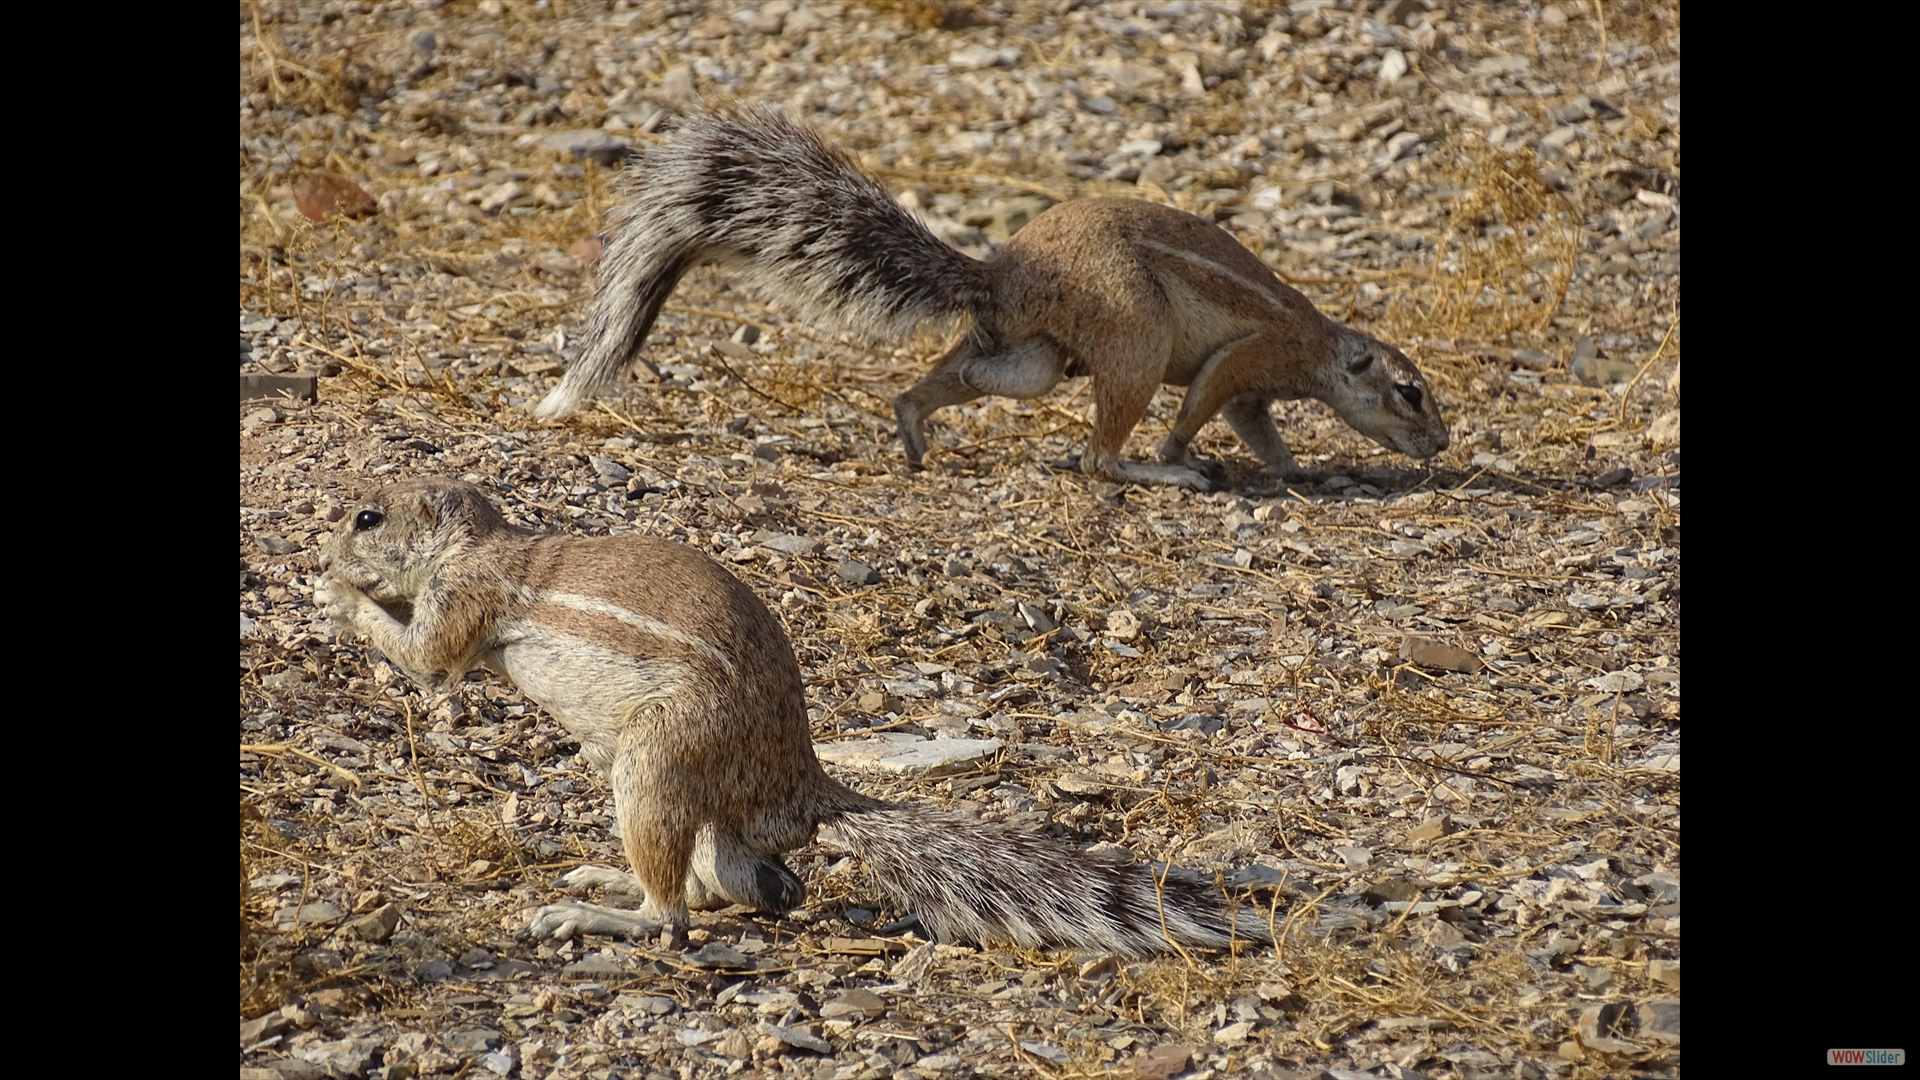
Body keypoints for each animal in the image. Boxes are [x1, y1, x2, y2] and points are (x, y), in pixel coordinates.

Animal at [320, 474, 1267, 945]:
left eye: (366, 516)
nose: (326, 543)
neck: (474, 543)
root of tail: (801, 785)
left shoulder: (464, 603)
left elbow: (426, 660)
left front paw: (338, 593)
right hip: (702, 812)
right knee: (743, 889)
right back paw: (607, 876)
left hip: (655, 763)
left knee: (674, 918)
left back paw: (595, 912)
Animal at [533, 102, 1443, 490]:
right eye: (1409, 391)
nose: (1439, 444)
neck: (1323, 347)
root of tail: (1003, 274)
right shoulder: (1253, 356)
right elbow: (1205, 404)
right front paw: (1185, 451)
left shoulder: (1258, 389)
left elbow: (1261, 429)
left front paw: (1294, 466)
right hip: (1133, 338)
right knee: (1096, 455)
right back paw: (1155, 473)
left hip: (1033, 351)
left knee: (970, 377)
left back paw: (911, 427)